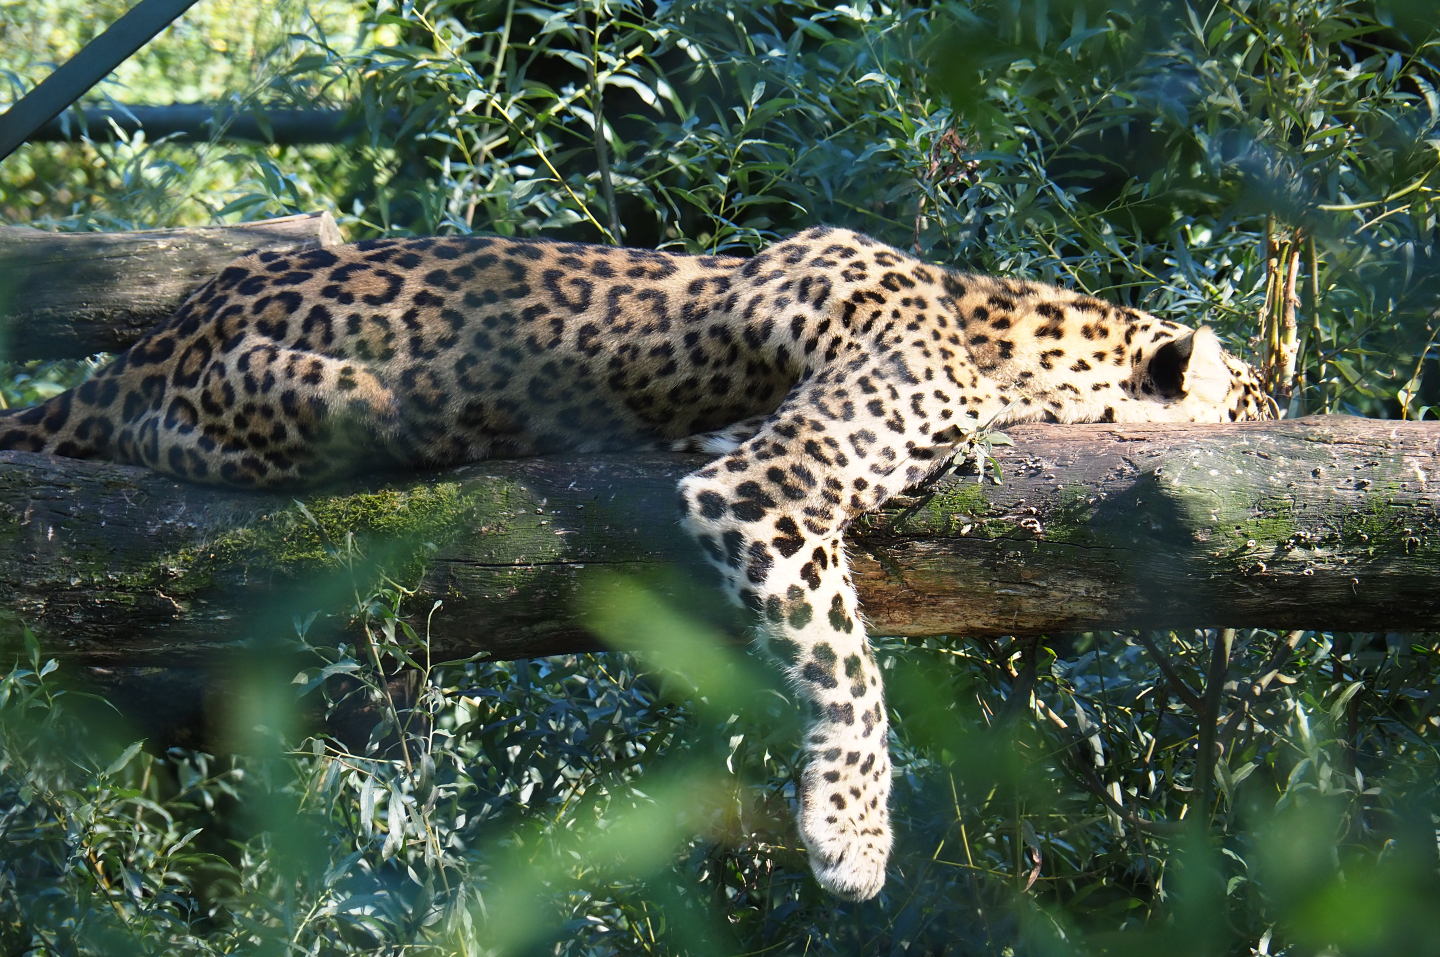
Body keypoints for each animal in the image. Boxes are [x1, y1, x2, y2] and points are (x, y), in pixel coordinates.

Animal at [0, 225, 1271, 900]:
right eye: (1267, 405)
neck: (1016, 345)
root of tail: (152, 340)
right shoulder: (772, 487)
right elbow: (849, 674)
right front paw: (854, 834)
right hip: (290, 390)